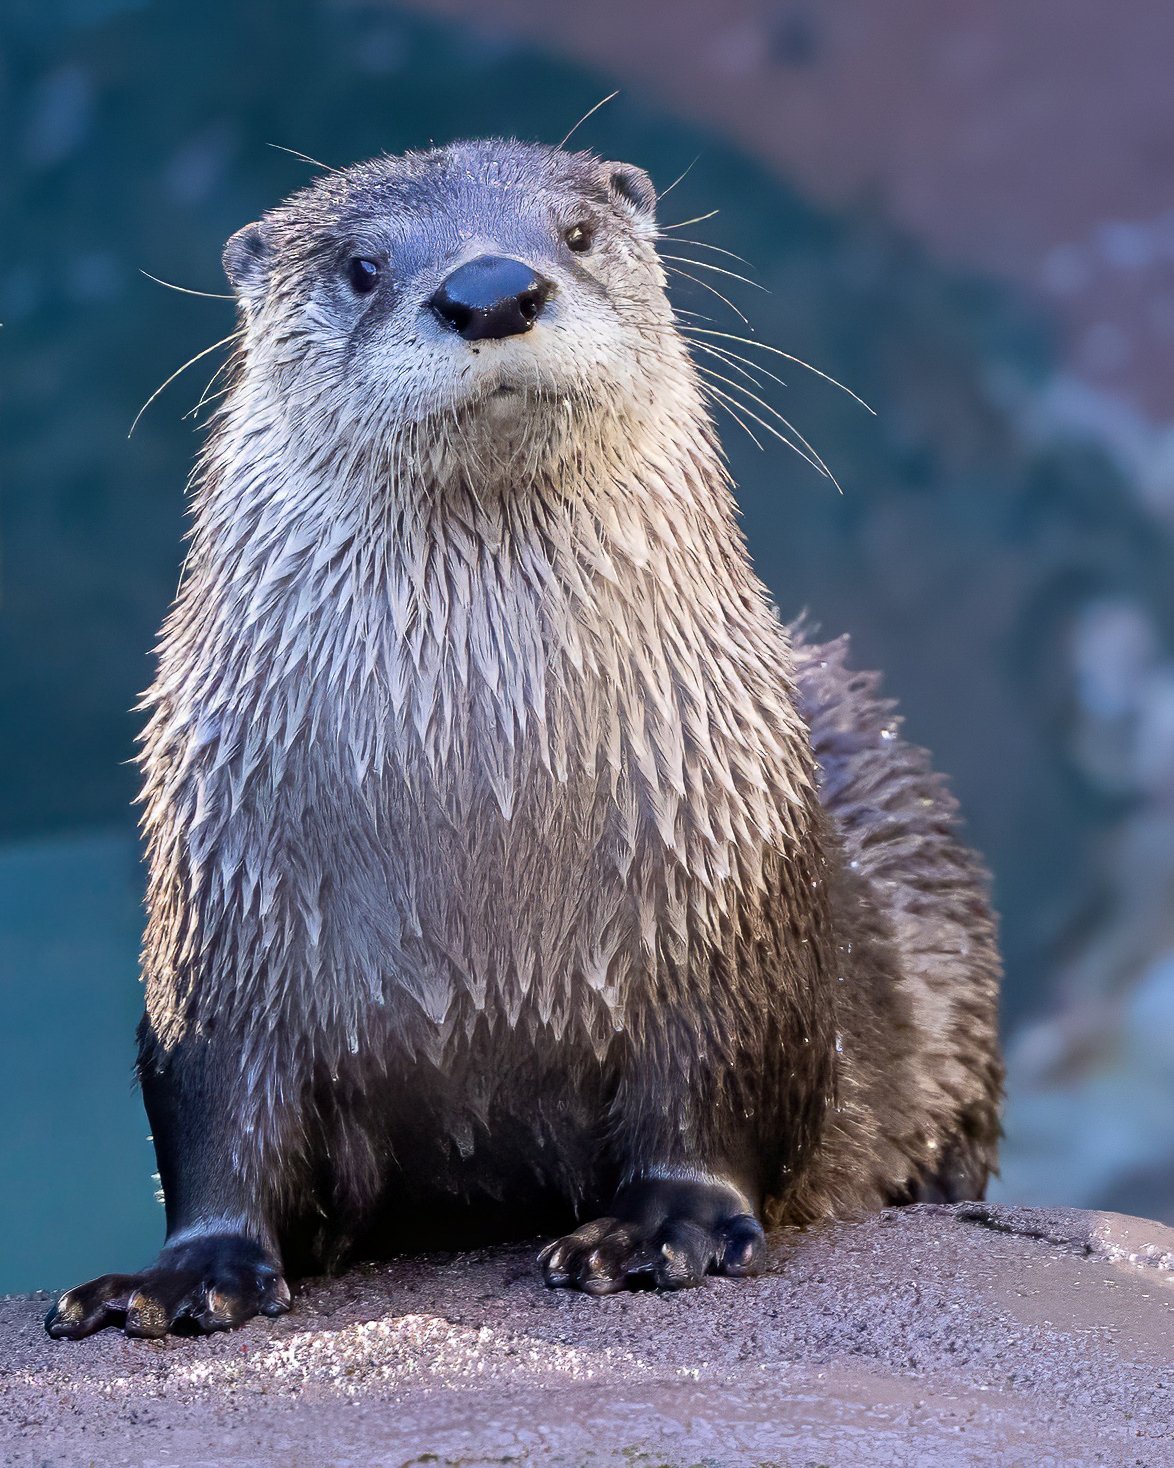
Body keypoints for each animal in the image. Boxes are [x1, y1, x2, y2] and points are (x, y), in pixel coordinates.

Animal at [47, 140, 1001, 1340]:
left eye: (577, 233)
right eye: (362, 267)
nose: (494, 288)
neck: (477, 825)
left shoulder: (726, 910)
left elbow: (720, 1076)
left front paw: (663, 1229)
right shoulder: (222, 916)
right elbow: (213, 1105)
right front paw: (187, 1273)